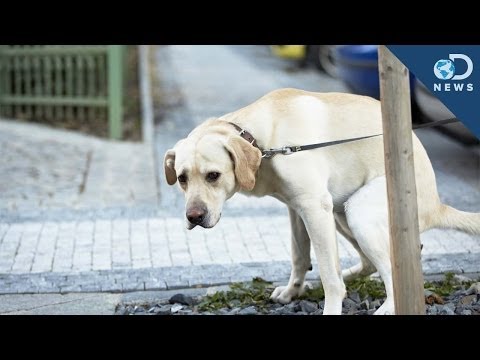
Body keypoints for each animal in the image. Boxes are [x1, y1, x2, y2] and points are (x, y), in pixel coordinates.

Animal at [163, 88, 478, 314]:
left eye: (213, 176)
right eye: (181, 179)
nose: (193, 217)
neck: (263, 142)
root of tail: (437, 205)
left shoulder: (313, 207)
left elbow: (328, 276)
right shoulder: (297, 209)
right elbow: (300, 256)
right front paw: (293, 291)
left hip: (359, 212)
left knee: (392, 273)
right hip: (340, 214)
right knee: (374, 263)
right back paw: (351, 275)